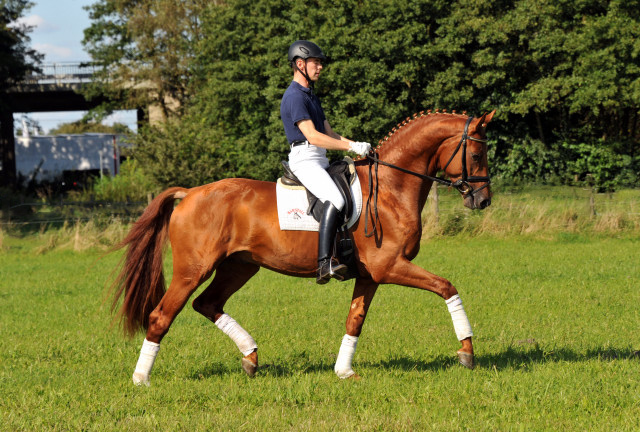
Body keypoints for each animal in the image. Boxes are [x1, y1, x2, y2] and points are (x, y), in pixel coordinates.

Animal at [114, 110, 496, 384]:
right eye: (477, 153)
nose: (482, 201)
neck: (391, 186)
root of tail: (191, 193)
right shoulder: (390, 266)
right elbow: (447, 287)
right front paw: (467, 351)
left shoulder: (371, 275)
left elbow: (355, 319)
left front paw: (344, 371)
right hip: (193, 270)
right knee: (162, 316)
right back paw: (141, 378)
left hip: (239, 266)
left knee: (207, 304)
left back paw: (250, 357)